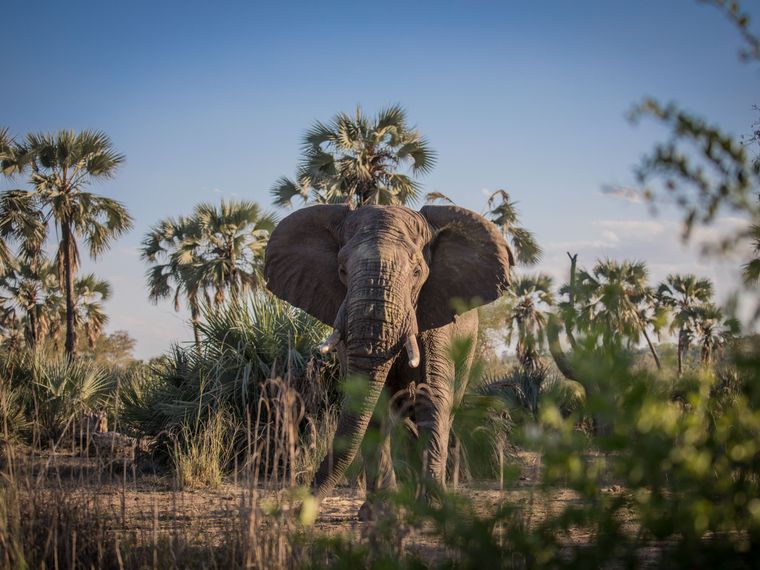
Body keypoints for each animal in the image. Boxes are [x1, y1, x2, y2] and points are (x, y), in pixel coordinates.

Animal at [264, 204, 513, 517]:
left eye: (417, 272)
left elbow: (432, 398)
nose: (299, 510)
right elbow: (372, 407)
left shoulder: (438, 319)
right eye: (342, 270)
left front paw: (432, 509)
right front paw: (380, 514)